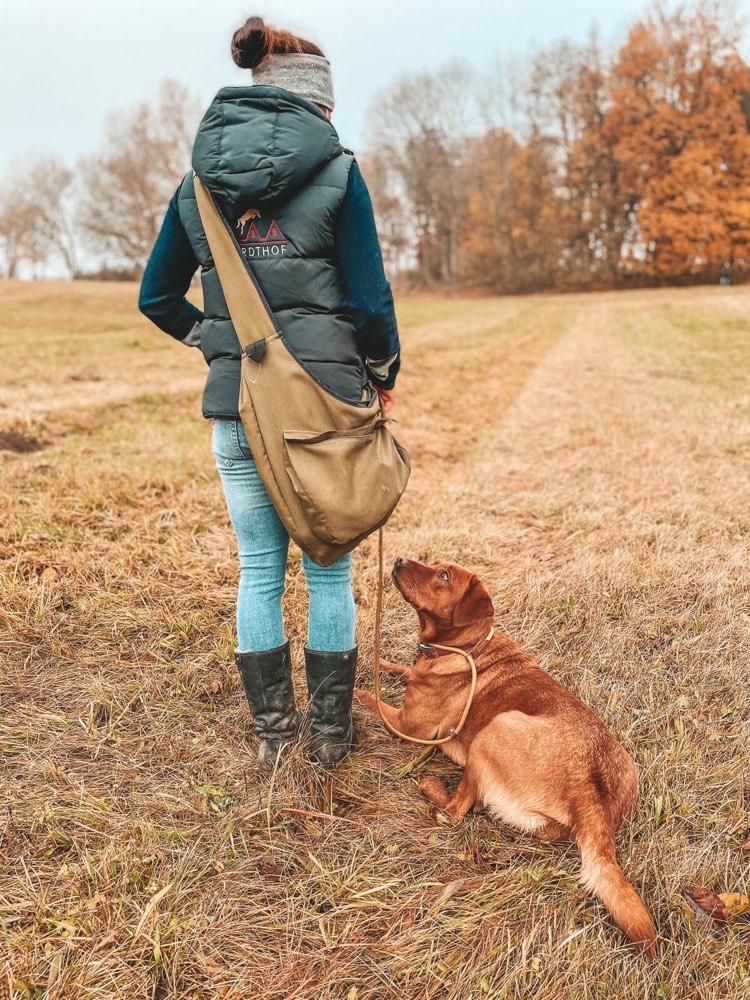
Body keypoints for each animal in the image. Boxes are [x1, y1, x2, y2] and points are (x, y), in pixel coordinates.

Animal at [356, 560, 656, 956]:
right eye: (432, 564)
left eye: (444, 576)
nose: (399, 560)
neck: (464, 647)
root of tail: (587, 784)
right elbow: (399, 670)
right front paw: (383, 662)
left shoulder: (407, 724)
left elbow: (367, 698)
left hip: (495, 729)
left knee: (455, 812)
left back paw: (432, 786)